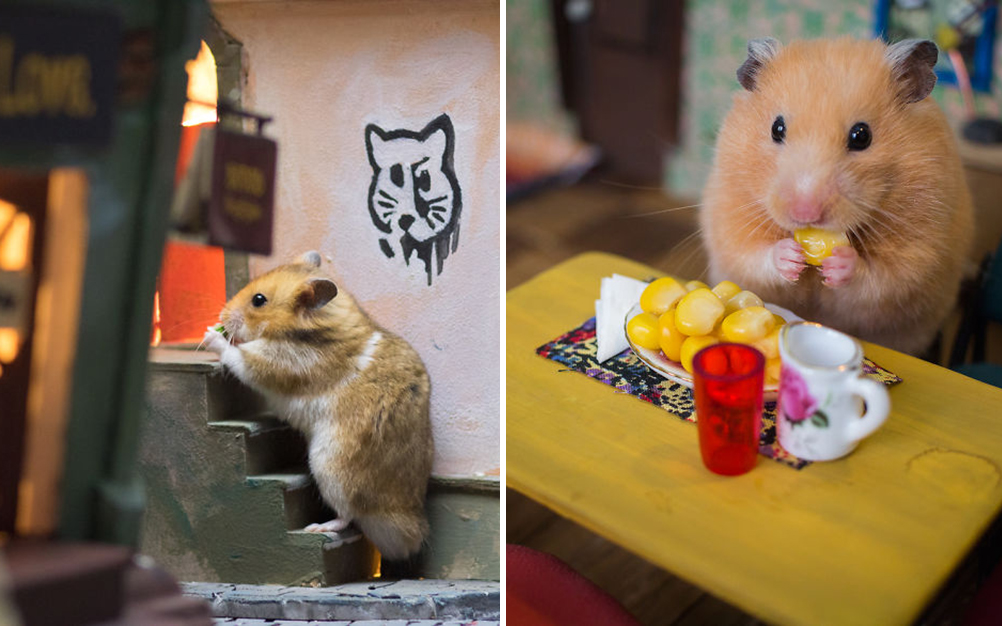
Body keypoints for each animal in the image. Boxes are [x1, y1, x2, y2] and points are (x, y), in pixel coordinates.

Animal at [202, 251, 434, 561]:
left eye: (259, 300)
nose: (221, 317)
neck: (311, 328)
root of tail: (408, 531)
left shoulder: (277, 363)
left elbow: (238, 356)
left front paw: (210, 336)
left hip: (330, 468)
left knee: (349, 515)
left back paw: (318, 527)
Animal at [699, 37, 973, 355]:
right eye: (776, 129)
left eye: (862, 136)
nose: (805, 213)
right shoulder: (731, 214)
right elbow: (753, 254)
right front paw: (790, 255)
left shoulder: (920, 245)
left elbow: (882, 277)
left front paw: (839, 264)